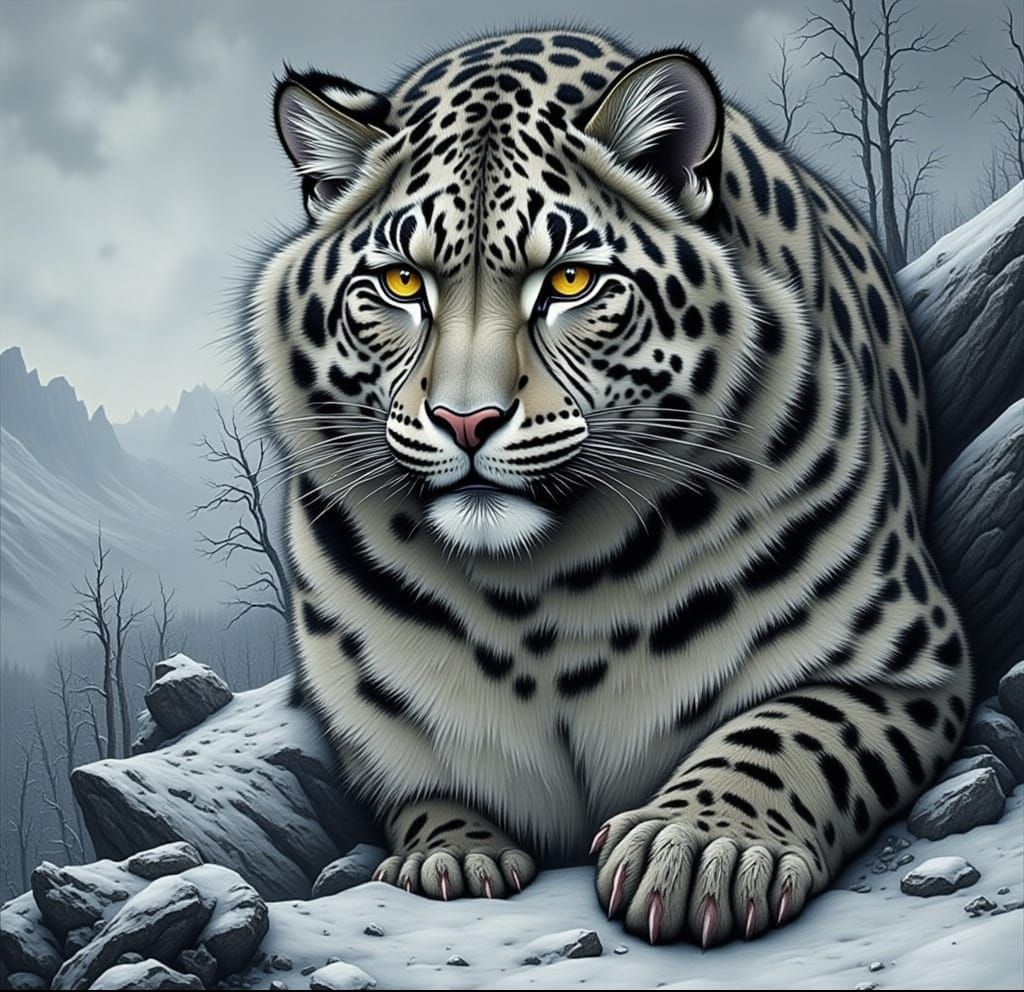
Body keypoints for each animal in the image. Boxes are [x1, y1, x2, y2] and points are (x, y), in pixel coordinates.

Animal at [241, 28, 972, 946]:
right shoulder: (375, 734)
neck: (539, 597)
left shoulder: (909, 662)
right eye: (403, 284)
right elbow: (424, 785)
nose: (467, 421)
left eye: (569, 282)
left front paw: (702, 845)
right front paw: (451, 853)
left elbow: (789, 729)